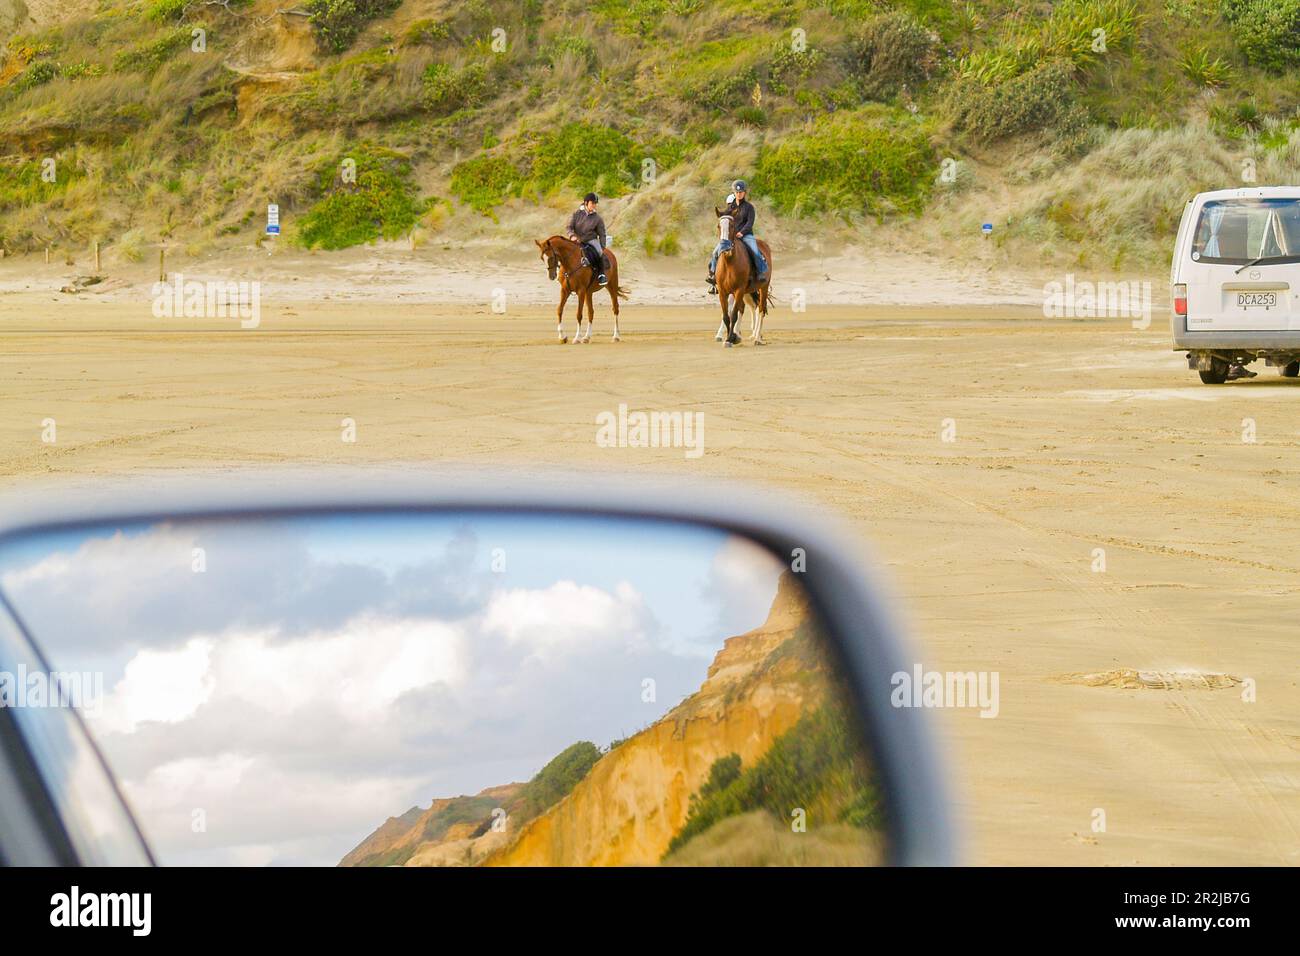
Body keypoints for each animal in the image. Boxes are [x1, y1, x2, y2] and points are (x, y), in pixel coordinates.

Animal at [712, 209, 769, 348]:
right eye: (718, 226)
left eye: (732, 226)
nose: (725, 247)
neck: (729, 262)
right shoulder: (723, 292)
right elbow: (726, 316)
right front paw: (731, 337)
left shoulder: (738, 290)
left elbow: (733, 315)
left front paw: (730, 339)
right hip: (747, 292)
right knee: (748, 307)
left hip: (763, 288)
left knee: (761, 309)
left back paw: (757, 338)